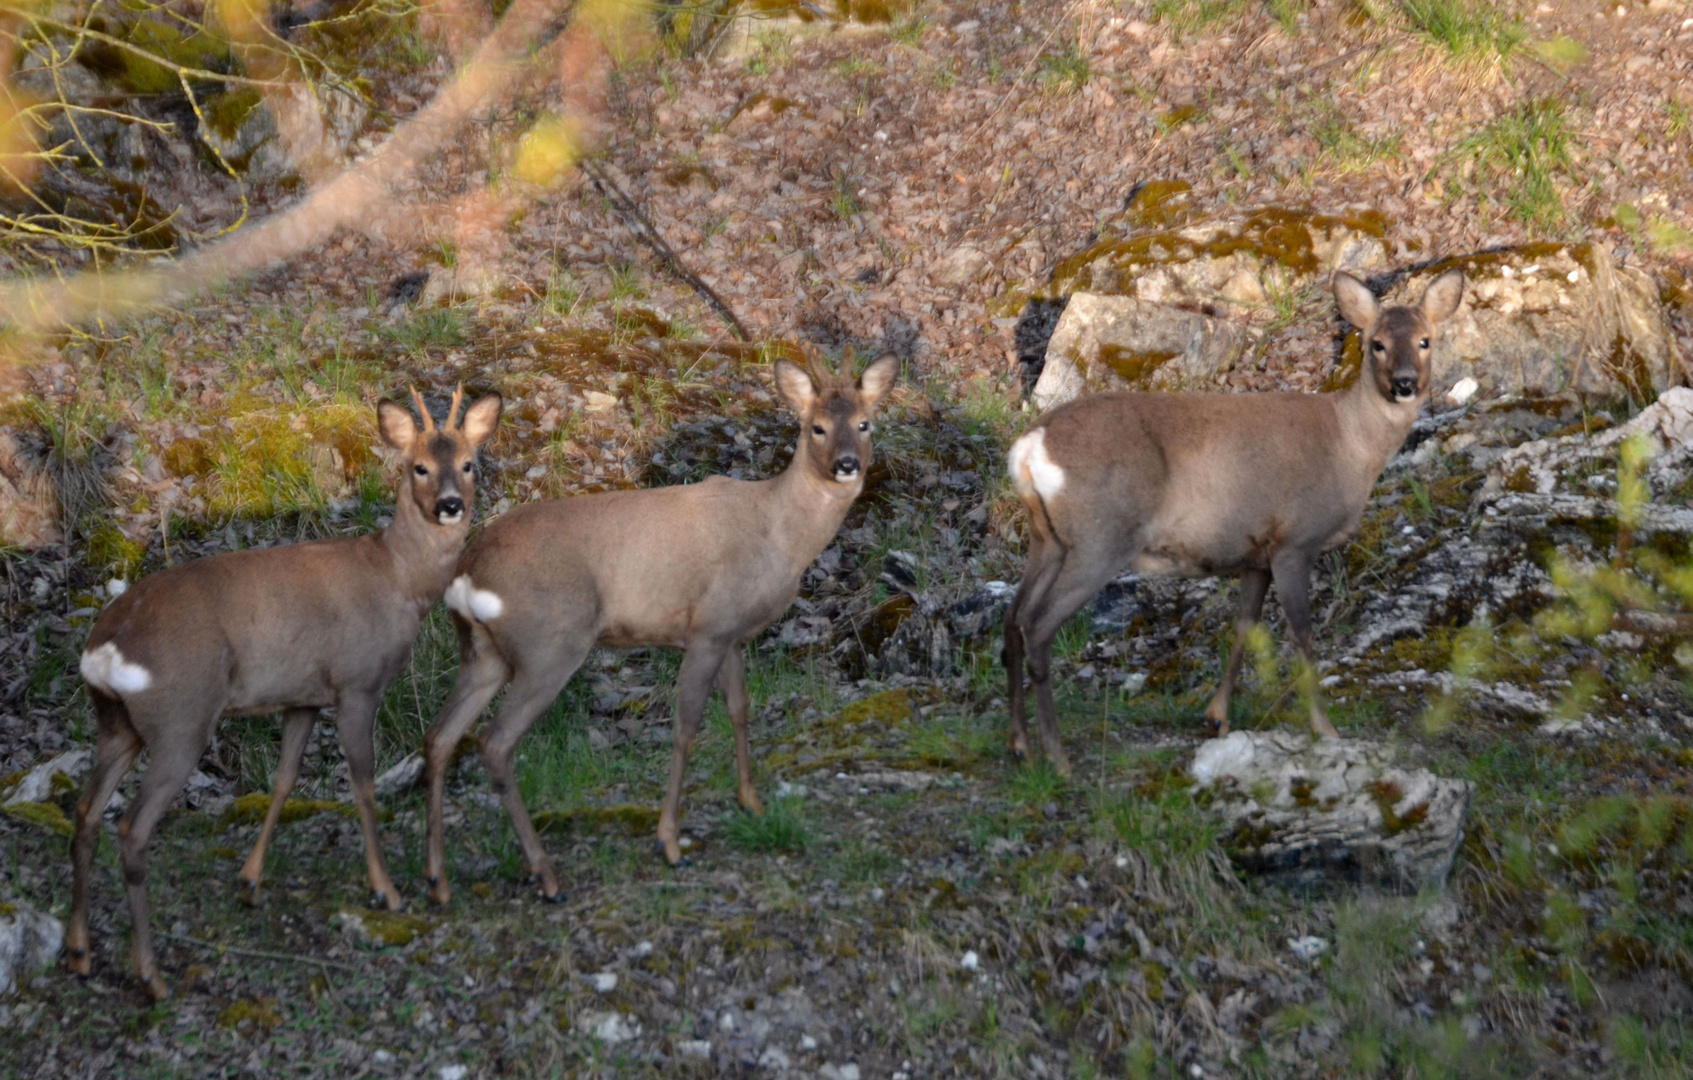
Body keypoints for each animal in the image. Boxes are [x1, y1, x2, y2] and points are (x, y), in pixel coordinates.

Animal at [69, 387, 501, 1002]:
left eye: (467, 463)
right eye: (418, 466)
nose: (449, 505)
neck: (398, 578)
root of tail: (104, 647)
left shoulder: (303, 696)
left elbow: (284, 780)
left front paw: (250, 881)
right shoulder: (356, 681)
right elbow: (362, 784)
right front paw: (386, 890)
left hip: (116, 725)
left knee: (85, 814)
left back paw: (81, 952)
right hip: (181, 718)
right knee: (130, 829)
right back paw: (150, 975)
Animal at [423, 352, 900, 900]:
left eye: (864, 423)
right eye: (816, 427)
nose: (847, 464)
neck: (779, 533)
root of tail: (467, 568)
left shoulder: (730, 633)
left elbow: (739, 709)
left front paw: (751, 802)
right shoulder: (707, 628)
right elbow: (687, 724)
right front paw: (670, 842)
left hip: (484, 655)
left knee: (440, 736)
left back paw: (438, 879)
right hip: (549, 646)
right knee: (494, 743)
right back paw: (545, 874)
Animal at [995, 270, 1462, 778]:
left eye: (1425, 340)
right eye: (1376, 343)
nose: (1405, 383)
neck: (1350, 448)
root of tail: (1029, 448)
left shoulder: (1255, 554)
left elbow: (1244, 627)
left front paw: (1217, 717)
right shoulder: (1294, 541)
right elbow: (1302, 635)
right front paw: (1325, 729)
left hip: (1048, 541)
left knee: (1013, 619)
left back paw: (1020, 745)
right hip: (1099, 538)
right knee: (1038, 626)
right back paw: (1057, 756)